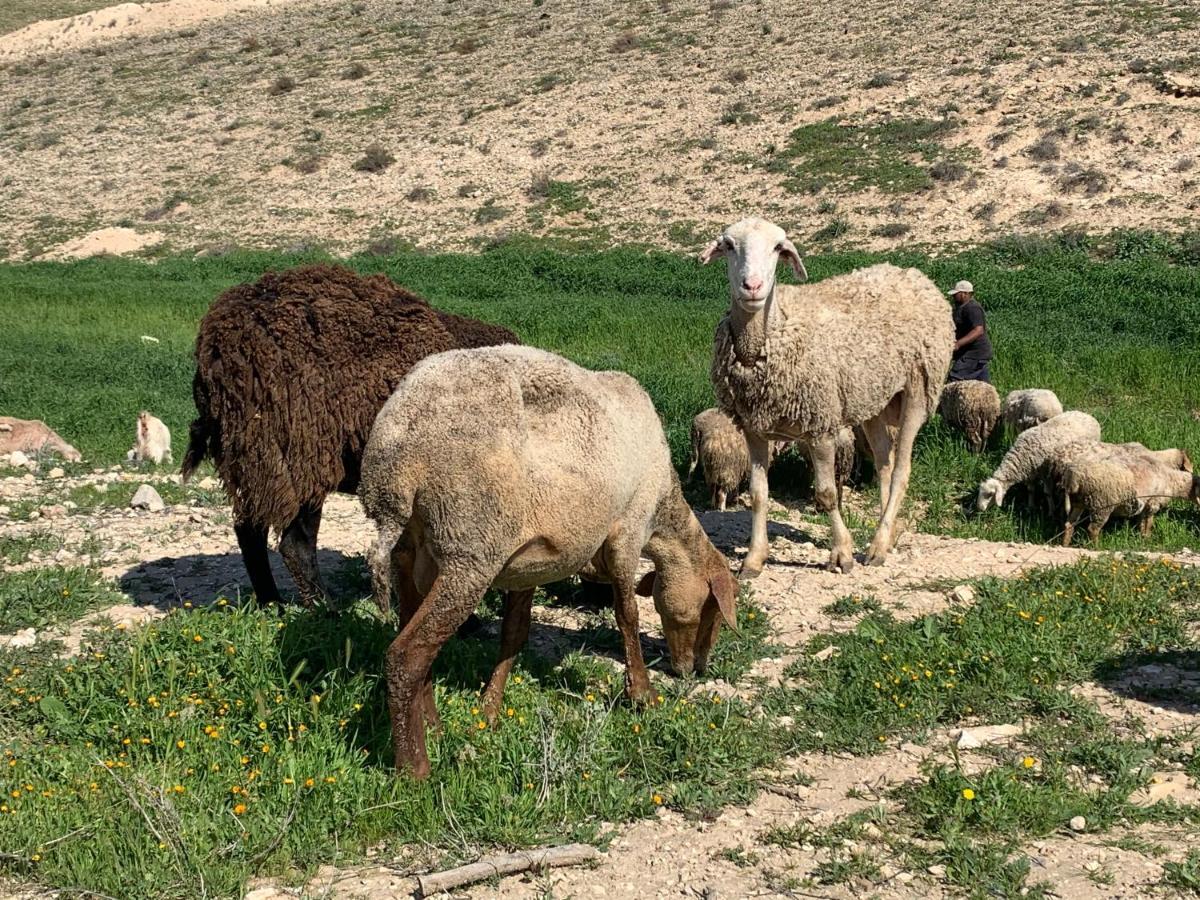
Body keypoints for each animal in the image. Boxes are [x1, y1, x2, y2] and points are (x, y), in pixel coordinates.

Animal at [181, 264, 516, 609]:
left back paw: (271, 602)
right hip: (301, 462)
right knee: (293, 544)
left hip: (255, 461)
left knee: (250, 530)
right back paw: (324, 609)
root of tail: (220, 347)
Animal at [700, 217, 955, 578]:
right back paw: (887, 535)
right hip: (875, 400)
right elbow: (759, 493)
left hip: (918, 389)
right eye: (730, 245)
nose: (752, 287)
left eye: (778, 248)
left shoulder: (819, 424)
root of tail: (914, 275)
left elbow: (826, 493)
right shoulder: (753, 427)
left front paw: (842, 553)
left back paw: (877, 546)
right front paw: (754, 559)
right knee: (885, 464)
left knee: (902, 470)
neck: (768, 334)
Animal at [969, 410, 1099, 511]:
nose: (979, 508)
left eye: (990, 494)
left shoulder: (1046, 473)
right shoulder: (1030, 473)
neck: (1021, 456)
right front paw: (1030, 506)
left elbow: (1047, 493)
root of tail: (1089, 416)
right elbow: (1030, 490)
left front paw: (1051, 511)